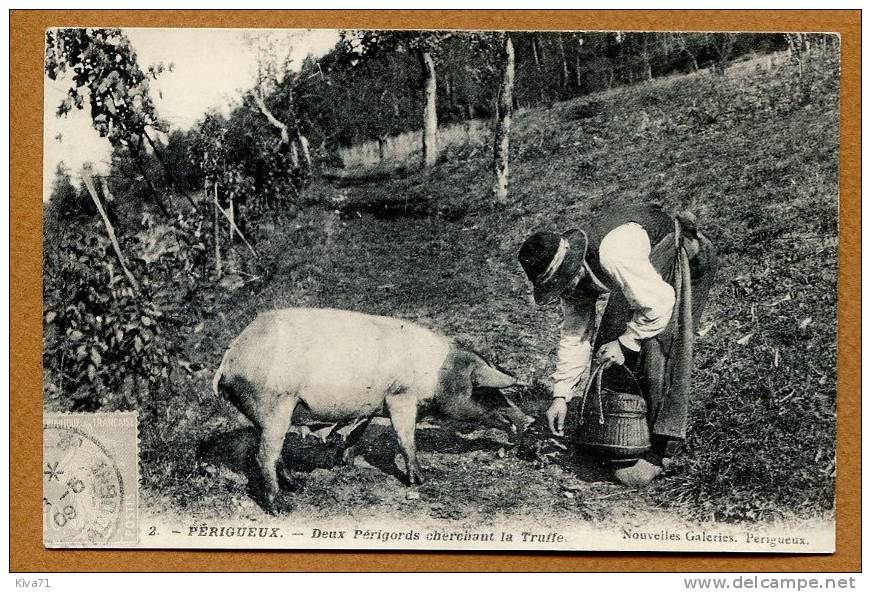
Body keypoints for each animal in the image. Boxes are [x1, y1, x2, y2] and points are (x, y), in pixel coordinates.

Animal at [215, 308, 536, 512]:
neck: (439, 375)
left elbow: (357, 432)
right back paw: (282, 507)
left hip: (267, 414)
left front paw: (346, 461)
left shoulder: (372, 405)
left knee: (272, 452)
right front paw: (420, 481)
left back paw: (297, 486)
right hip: (276, 405)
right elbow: (406, 439)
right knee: (264, 456)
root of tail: (229, 360)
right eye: (485, 390)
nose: (530, 420)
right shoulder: (400, 395)